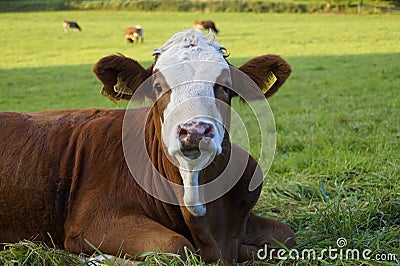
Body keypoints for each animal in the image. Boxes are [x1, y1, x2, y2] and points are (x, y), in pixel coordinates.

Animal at [0, 29, 294, 264]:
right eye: (157, 86)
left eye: (224, 87)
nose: (194, 130)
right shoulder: (93, 223)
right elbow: (177, 245)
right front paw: (98, 258)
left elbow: (285, 236)